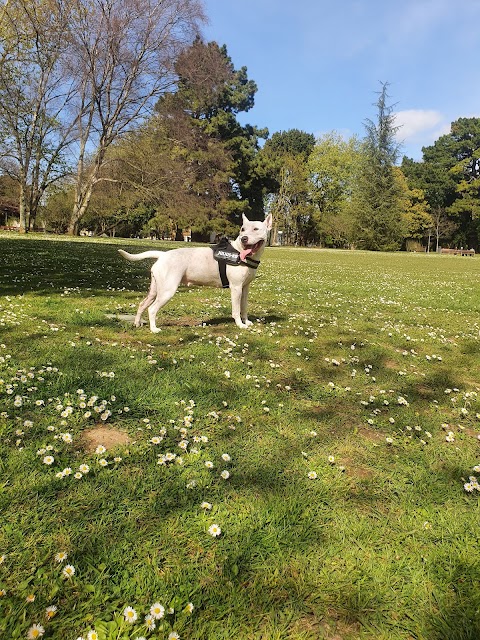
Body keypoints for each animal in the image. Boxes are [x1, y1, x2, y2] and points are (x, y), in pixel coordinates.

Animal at [118, 215, 272, 336]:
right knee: (152, 309)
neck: (241, 253)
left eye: (256, 229)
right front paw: (240, 325)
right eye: (242, 229)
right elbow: (236, 310)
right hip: (167, 291)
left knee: (142, 304)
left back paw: (137, 323)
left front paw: (247, 321)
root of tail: (162, 255)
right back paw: (154, 329)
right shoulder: (236, 288)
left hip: (155, 290)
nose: (244, 238)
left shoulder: (245, 288)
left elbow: (244, 307)